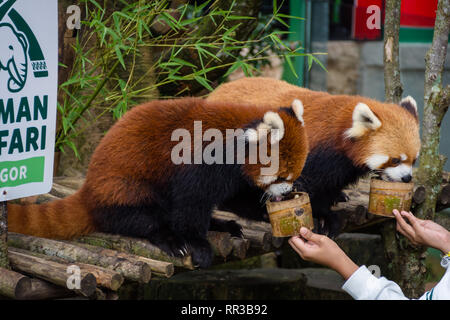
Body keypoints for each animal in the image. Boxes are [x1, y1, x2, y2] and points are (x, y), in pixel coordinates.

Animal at [7, 97, 310, 268]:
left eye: (294, 175)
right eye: (282, 177)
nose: (288, 190)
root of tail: (89, 190)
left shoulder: (231, 173)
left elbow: (232, 197)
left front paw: (266, 211)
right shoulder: (200, 161)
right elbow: (191, 202)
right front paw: (197, 244)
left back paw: (220, 225)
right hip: (127, 188)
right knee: (144, 217)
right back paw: (170, 237)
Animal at [208, 77, 422, 238]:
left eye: (414, 160)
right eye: (395, 159)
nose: (407, 178)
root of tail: (214, 93)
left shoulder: (341, 165)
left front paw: (334, 197)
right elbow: (307, 187)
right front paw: (325, 217)